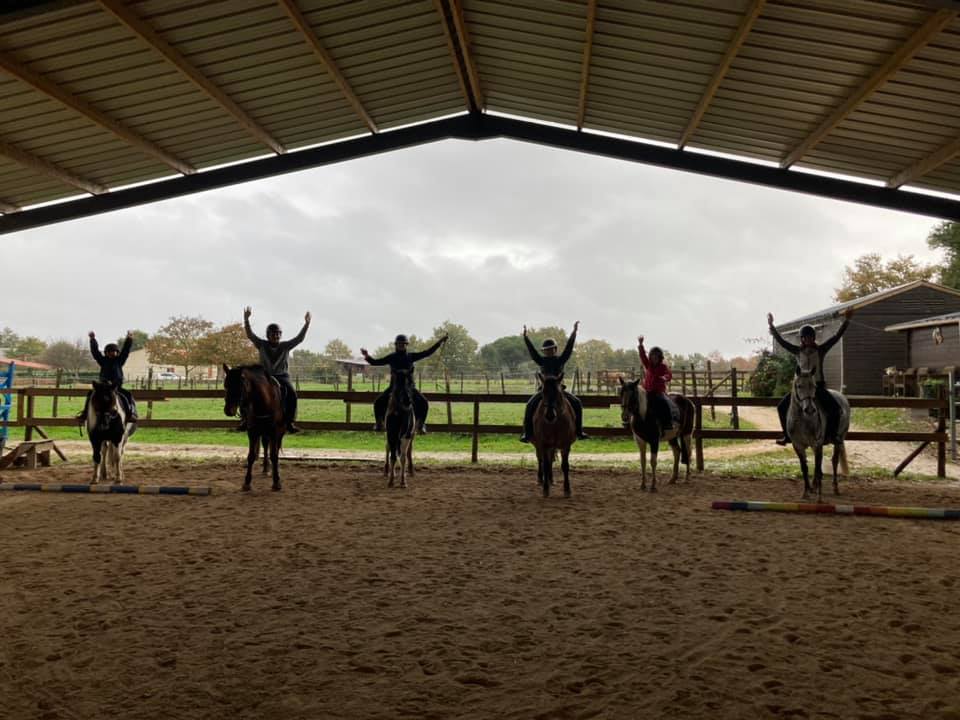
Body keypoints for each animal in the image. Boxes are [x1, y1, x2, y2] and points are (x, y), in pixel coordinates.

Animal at [787, 369, 850, 502]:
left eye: (814, 386)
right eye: (799, 386)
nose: (810, 410)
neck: (803, 420)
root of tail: (842, 396)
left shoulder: (817, 444)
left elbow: (817, 466)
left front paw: (818, 496)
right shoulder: (798, 445)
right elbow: (805, 467)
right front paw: (806, 491)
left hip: (839, 440)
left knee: (834, 461)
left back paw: (835, 488)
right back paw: (814, 486)